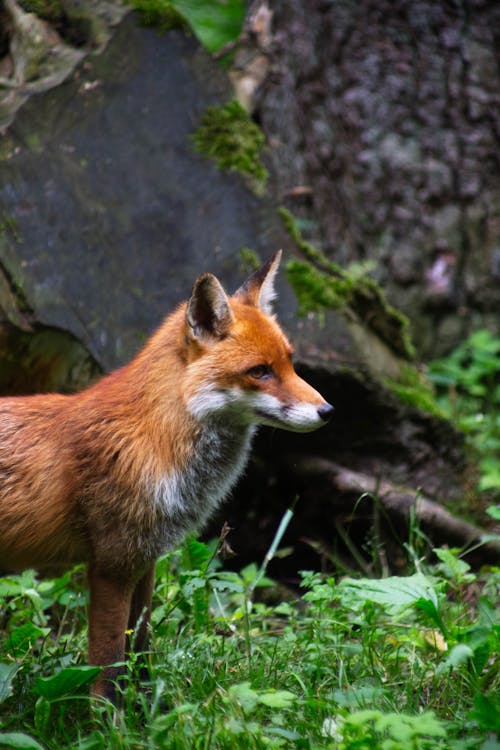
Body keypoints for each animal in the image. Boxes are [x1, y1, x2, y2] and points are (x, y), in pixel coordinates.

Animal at [0, 254, 336, 704]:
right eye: (260, 371)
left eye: (290, 362)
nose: (328, 411)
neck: (154, 438)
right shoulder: (112, 564)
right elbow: (108, 663)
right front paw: (106, 720)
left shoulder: (146, 561)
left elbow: (140, 652)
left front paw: (147, 712)